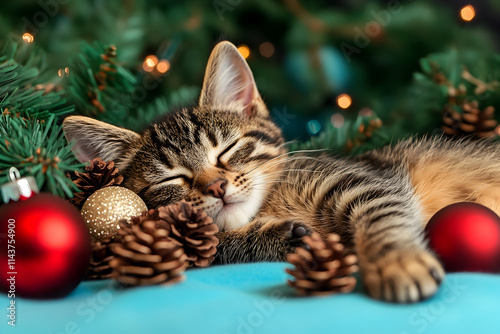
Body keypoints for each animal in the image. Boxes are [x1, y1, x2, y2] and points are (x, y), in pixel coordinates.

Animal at [62, 41, 500, 302]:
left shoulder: (364, 181)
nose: (217, 187)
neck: (271, 202)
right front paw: (283, 237)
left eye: (227, 150)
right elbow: (214, 247)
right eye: (172, 179)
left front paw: (396, 260)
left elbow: (383, 218)